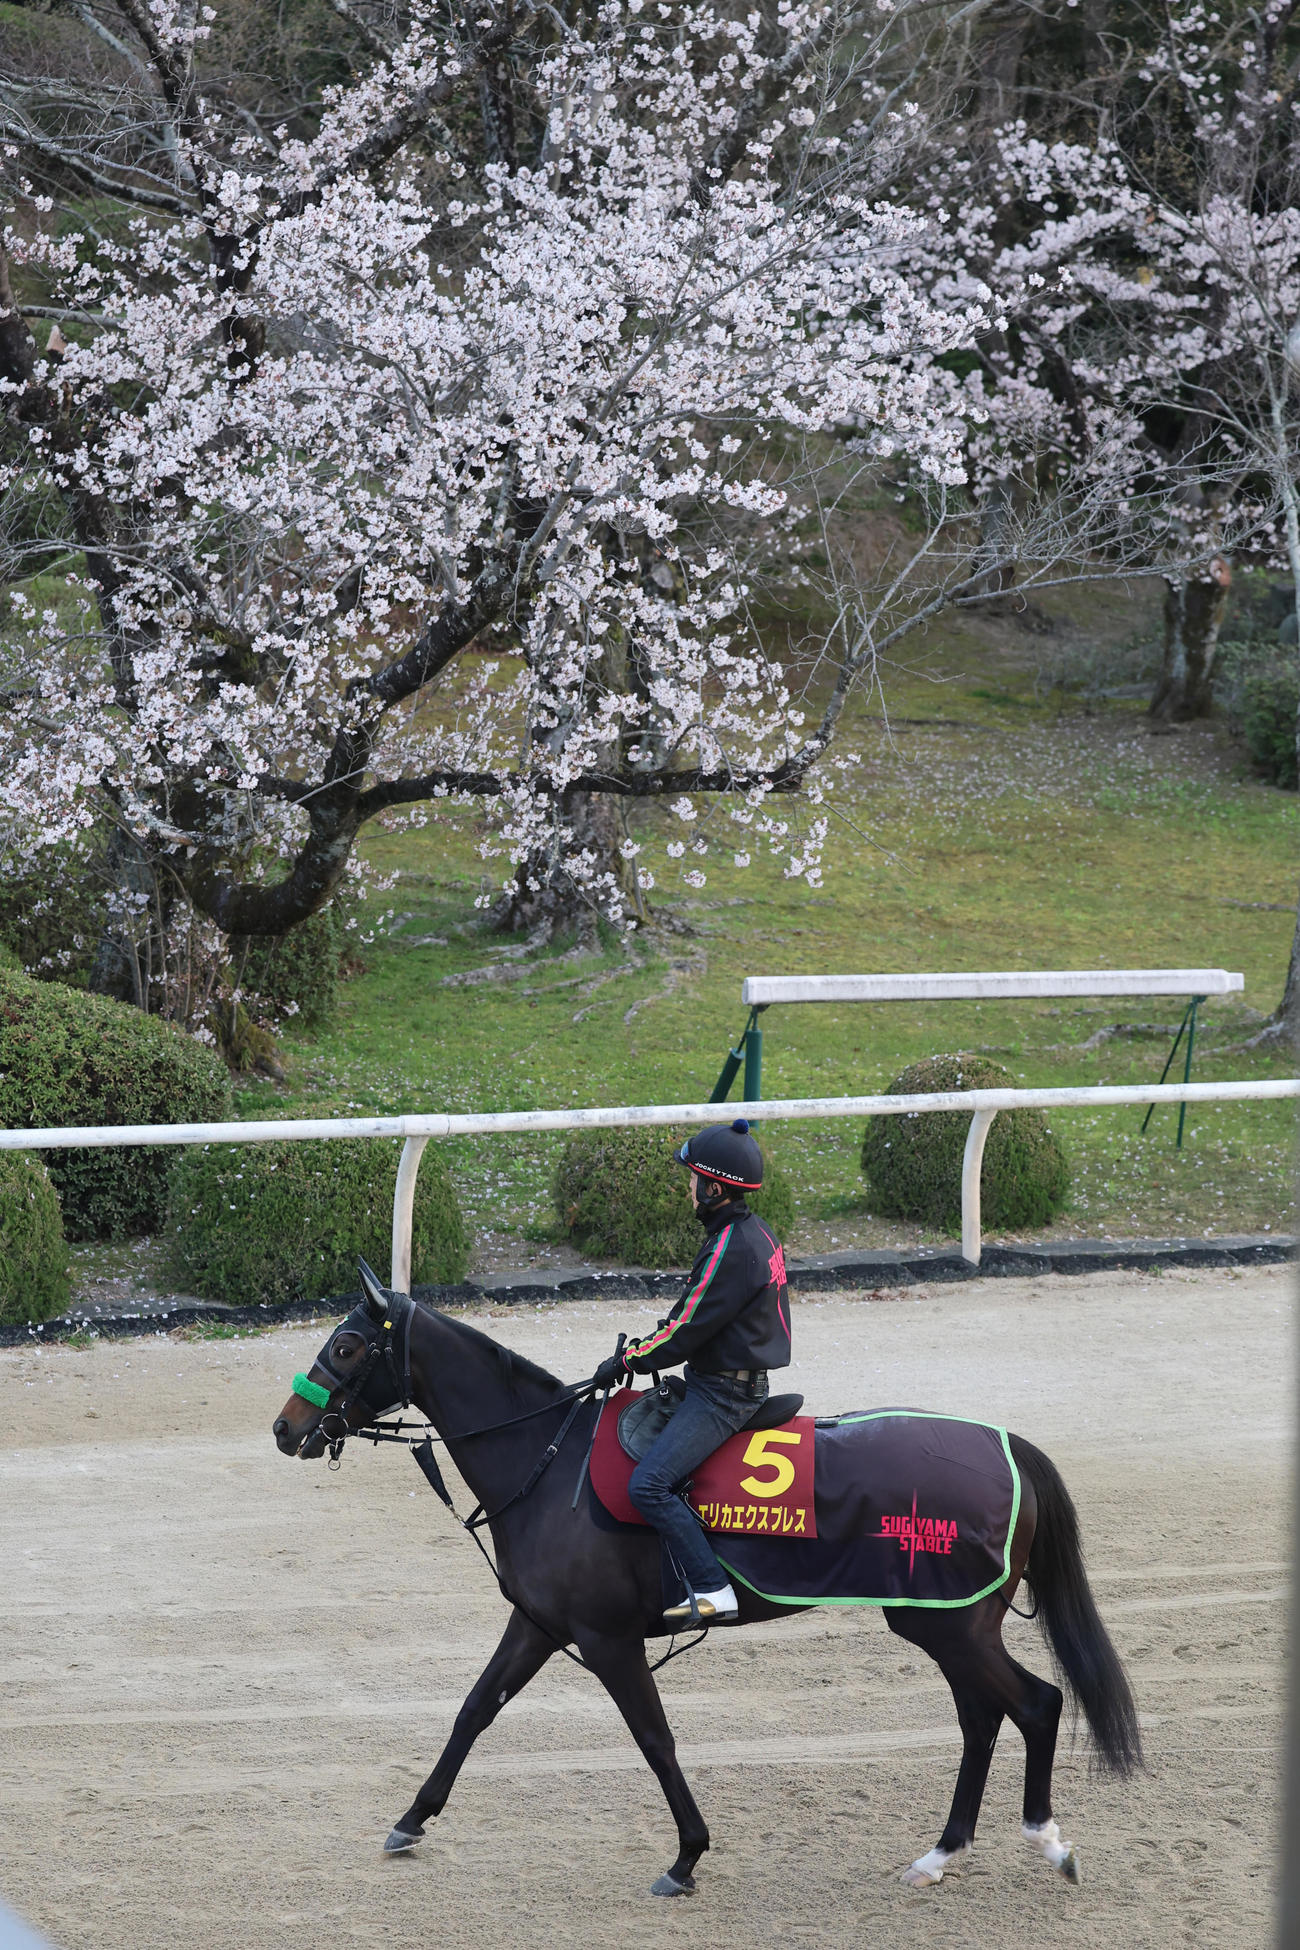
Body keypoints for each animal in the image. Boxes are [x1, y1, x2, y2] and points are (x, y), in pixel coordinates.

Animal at [271, 1266, 1141, 1896]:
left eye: (346, 1346)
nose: (285, 1427)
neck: (548, 1460)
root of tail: (1008, 1445)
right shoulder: (540, 1625)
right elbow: (473, 1710)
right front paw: (413, 1818)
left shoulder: (606, 1639)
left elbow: (654, 1740)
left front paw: (687, 1855)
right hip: (946, 1622)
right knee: (984, 1719)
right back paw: (942, 1853)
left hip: (947, 1623)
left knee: (1035, 1704)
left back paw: (1044, 1841)